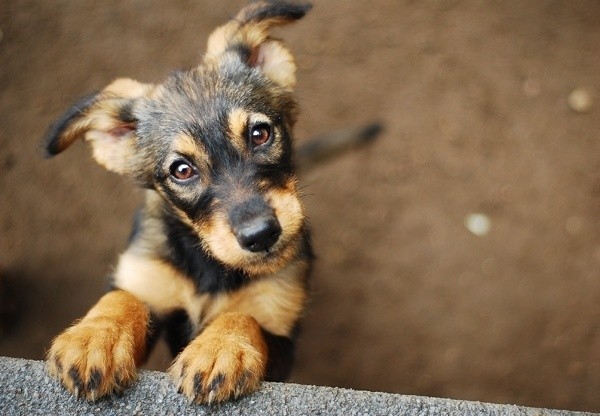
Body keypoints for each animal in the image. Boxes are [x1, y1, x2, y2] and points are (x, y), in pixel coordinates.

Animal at [43, 0, 380, 404]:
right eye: (182, 170)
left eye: (260, 133)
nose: (261, 235)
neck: (211, 267)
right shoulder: (148, 278)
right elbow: (123, 299)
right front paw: (95, 338)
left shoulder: (280, 331)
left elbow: (243, 317)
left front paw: (220, 349)